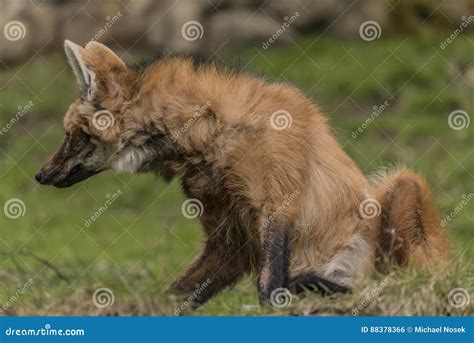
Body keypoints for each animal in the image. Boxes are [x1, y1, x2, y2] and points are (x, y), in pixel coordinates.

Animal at [36, 40, 448, 306]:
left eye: (69, 135)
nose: (40, 175)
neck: (208, 134)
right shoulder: (230, 237)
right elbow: (177, 294)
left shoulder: (276, 205)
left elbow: (268, 290)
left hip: (399, 184)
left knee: (403, 274)